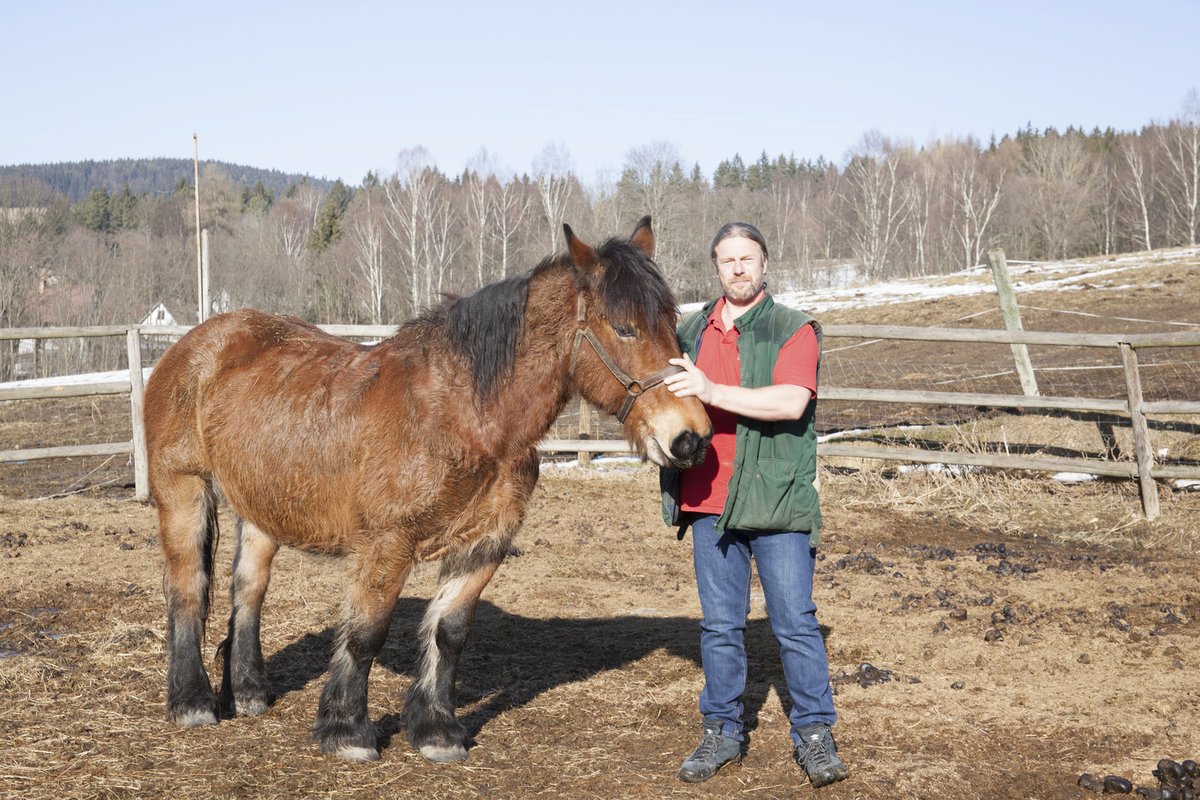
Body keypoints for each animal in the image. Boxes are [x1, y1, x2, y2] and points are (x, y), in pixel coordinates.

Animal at [147, 214, 710, 762]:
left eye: (672, 323)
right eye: (625, 328)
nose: (690, 438)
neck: (463, 413)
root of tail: (194, 344)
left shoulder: (484, 544)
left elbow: (450, 632)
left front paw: (436, 730)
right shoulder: (387, 543)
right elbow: (366, 632)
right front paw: (348, 731)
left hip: (263, 506)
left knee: (248, 590)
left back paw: (248, 693)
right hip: (183, 490)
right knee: (187, 588)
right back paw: (193, 702)